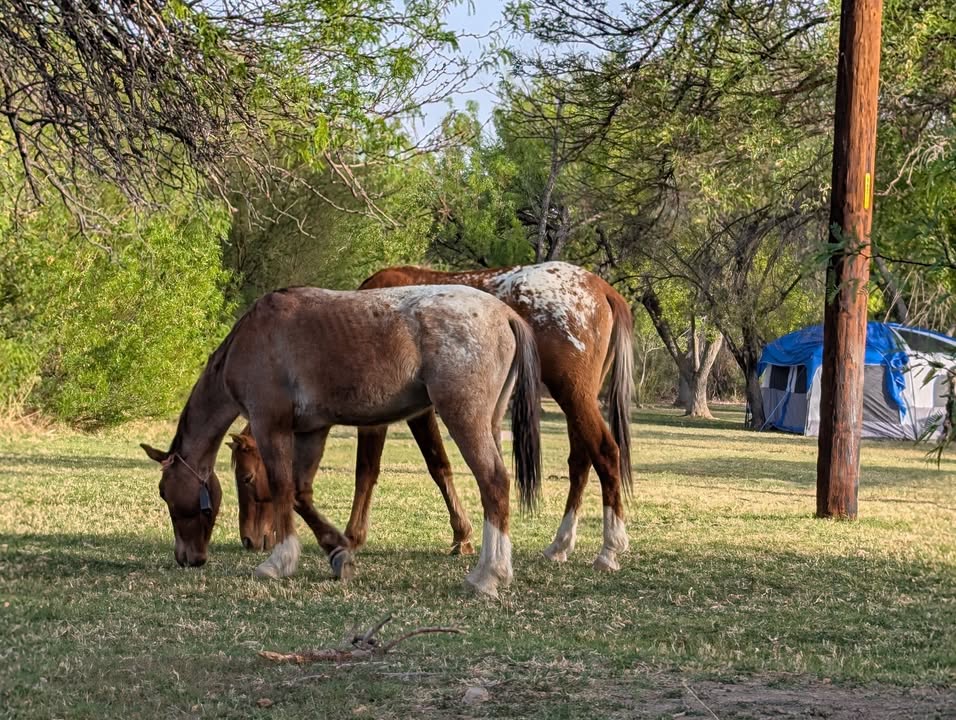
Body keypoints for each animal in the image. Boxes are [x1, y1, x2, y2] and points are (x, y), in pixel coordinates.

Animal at [140, 284, 542, 598]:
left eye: (165, 493)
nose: (187, 558)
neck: (253, 338)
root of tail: (505, 314)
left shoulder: (272, 427)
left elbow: (283, 488)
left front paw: (279, 561)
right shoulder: (311, 431)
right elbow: (301, 494)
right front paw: (338, 553)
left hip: (464, 420)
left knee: (493, 482)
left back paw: (487, 575)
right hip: (489, 424)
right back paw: (498, 569)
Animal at [233, 261, 634, 572]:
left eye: (247, 478)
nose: (250, 540)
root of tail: (600, 288)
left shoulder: (392, 415)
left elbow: (377, 469)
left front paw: (352, 536)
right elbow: (438, 467)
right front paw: (463, 536)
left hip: (573, 396)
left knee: (604, 452)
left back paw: (608, 550)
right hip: (577, 401)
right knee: (581, 460)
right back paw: (560, 544)